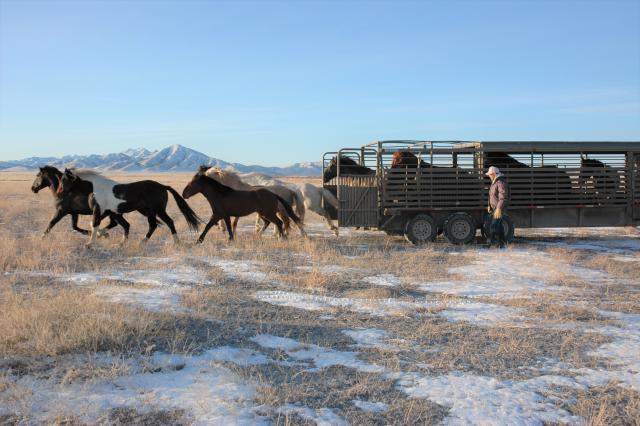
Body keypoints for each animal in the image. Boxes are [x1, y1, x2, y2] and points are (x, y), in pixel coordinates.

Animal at [59, 169, 200, 247]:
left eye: (64, 180)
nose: (59, 193)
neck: (95, 187)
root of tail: (162, 186)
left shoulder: (98, 210)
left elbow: (95, 225)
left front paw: (89, 244)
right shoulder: (109, 212)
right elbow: (97, 225)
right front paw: (104, 236)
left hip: (158, 210)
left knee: (169, 222)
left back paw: (176, 242)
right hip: (147, 211)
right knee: (153, 225)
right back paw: (140, 242)